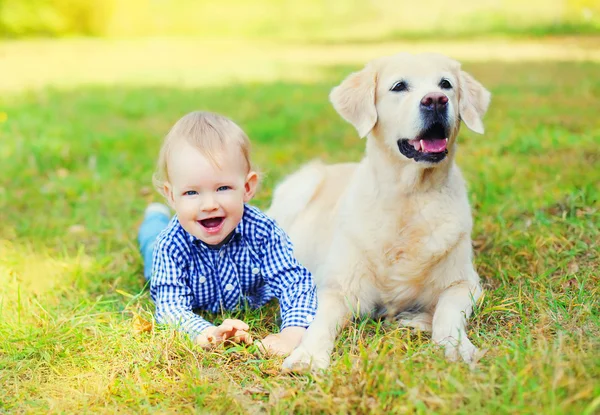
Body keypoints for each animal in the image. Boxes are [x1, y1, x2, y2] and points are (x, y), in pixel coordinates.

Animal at [268, 51, 492, 370]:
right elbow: (320, 322)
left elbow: (447, 311)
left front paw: (454, 345)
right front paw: (308, 356)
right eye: (399, 86)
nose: (436, 100)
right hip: (301, 185)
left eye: (446, 84)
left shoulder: (464, 283)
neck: (409, 198)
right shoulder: (339, 287)